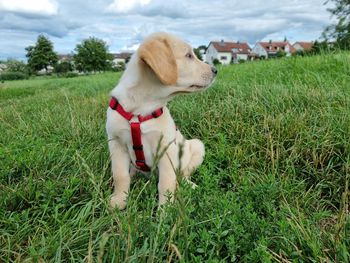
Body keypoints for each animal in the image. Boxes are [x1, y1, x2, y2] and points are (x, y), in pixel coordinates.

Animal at [105, 32, 217, 210]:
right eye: (188, 55)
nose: (215, 70)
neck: (141, 108)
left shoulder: (167, 149)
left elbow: (166, 183)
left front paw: (166, 211)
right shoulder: (116, 143)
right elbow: (120, 175)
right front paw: (119, 201)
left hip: (197, 146)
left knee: (182, 175)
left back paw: (189, 185)